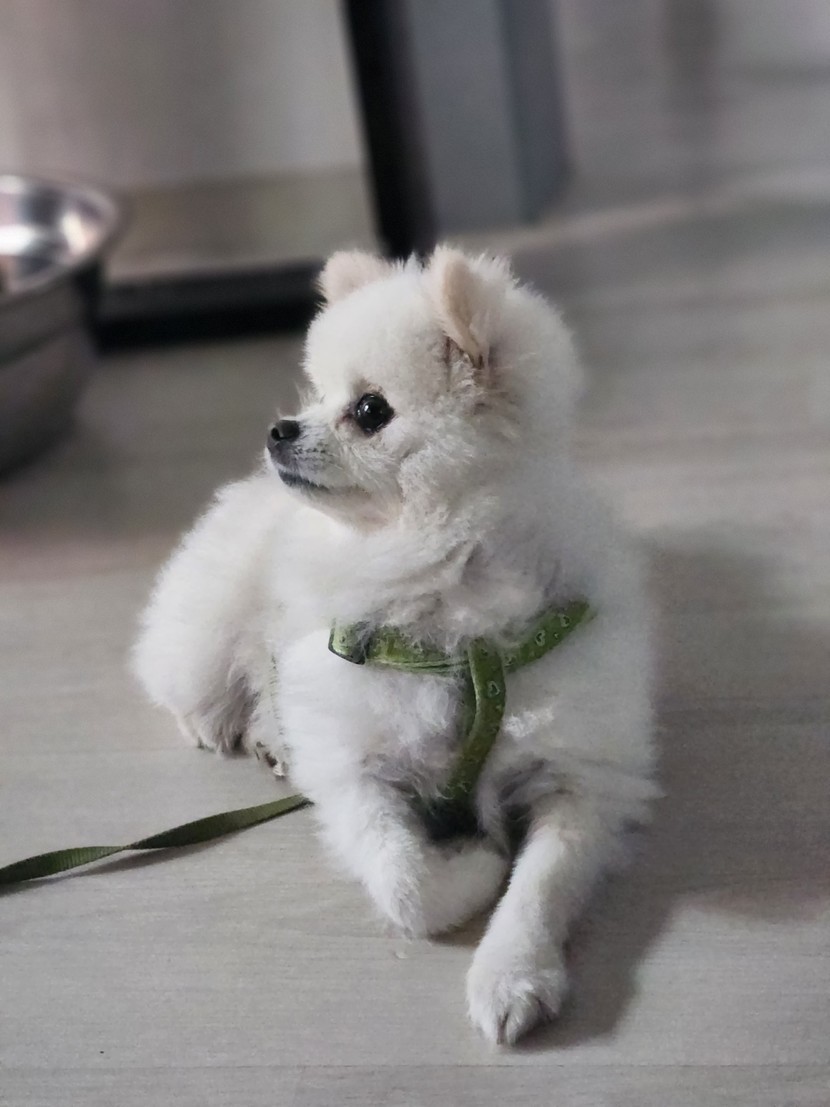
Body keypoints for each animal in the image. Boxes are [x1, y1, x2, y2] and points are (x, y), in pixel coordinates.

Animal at [133, 246, 656, 1045]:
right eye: (317, 393)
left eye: (369, 410)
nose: (281, 429)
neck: (456, 634)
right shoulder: (356, 770)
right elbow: (406, 882)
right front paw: (476, 866)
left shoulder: (579, 779)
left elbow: (541, 886)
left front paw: (513, 973)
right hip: (205, 637)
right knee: (198, 683)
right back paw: (232, 728)